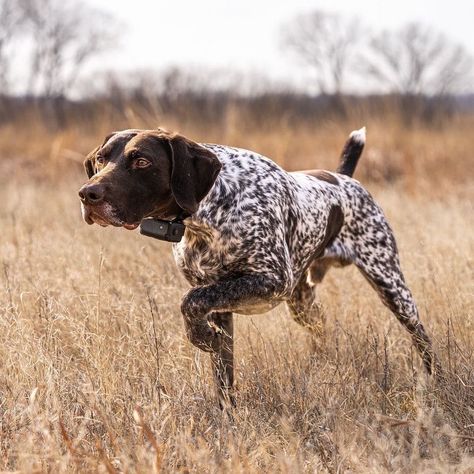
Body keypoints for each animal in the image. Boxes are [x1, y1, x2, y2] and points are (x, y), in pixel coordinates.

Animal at [79, 128, 436, 406]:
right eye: (101, 160)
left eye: (142, 161)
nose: (87, 194)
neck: (207, 214)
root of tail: (344, 178)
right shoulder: (221, 304)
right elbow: (222, 370)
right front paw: (228, 416)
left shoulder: (270, 281)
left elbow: (189, 302)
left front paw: (202, 339)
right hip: (301, 301)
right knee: (321, 326)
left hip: (390, 285)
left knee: (422, 339)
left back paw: (433, 382)